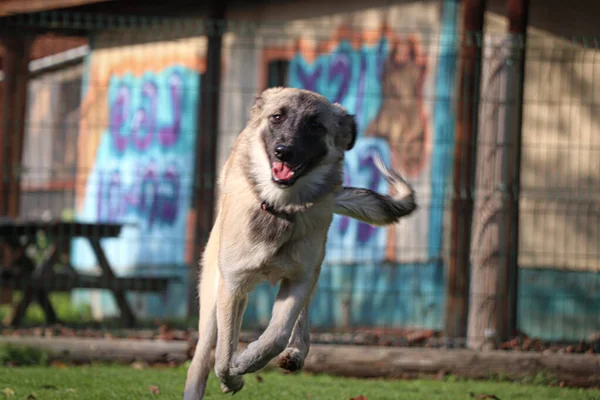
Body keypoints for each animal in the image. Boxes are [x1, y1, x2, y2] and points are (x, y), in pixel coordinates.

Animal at [184, 86, 418, 398]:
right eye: (277, 117)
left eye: (315, 125)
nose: (284, 151)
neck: (280, 208)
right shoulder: (232, 286)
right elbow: (222, 355)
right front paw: (232, 375)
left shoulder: (299, 279)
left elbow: (277, 334)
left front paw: (247, 361)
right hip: (213, 296)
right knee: (203, 355)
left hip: (311, 269)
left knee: (300, 321)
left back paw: (295, 352)